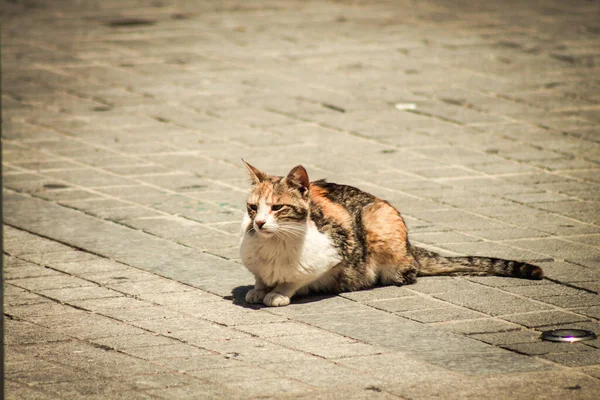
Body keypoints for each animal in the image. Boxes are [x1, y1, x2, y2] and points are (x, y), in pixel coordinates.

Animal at [239, 161, 544, 308]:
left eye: (278, 207)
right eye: (252, 207)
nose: (260, 223)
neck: (274, 246)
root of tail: (411, 247)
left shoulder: (334, 251)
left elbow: (296, 279)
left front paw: (278, 293)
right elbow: (260, 278)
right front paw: (259, 289)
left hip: (378, 218)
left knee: (407, 272)